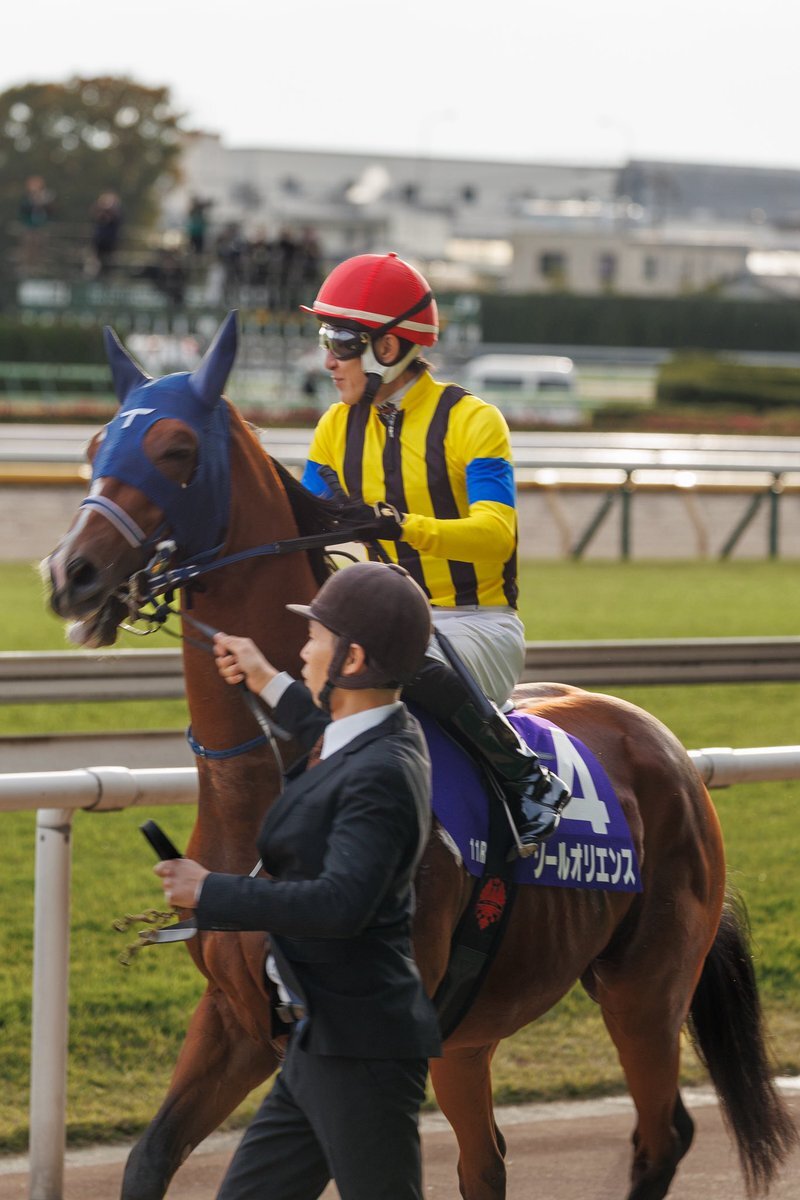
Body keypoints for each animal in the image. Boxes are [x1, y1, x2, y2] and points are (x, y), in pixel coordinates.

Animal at [45, 313, 796, 1200]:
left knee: (661, 1133)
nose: (71, 573)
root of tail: (667, 749)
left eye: (175, 450)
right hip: (470, 1031)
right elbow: (151, 1157)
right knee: (487, 1160)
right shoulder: (236, 1016)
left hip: (644, 985)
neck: (267, 772)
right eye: (97, 442)